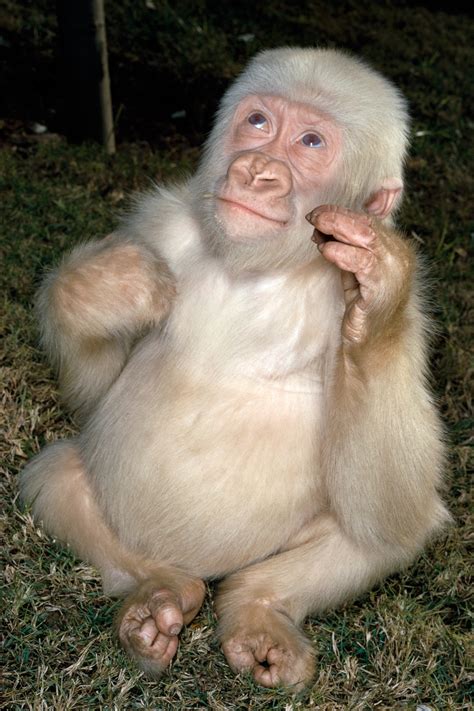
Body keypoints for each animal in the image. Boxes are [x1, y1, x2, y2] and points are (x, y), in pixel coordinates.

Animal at [20, 47, 449, 689]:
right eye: (258, 122)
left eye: (311, 141)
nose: (257, 169)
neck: (261, 268)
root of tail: (205, 567)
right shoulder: (157, 225)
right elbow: (95, 393)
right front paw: (96, 290)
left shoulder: (412, 315)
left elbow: (392, 500)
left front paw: (375, 311)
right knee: (58, 479)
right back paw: (156, 592)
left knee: (389, 529)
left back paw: (257, 606)